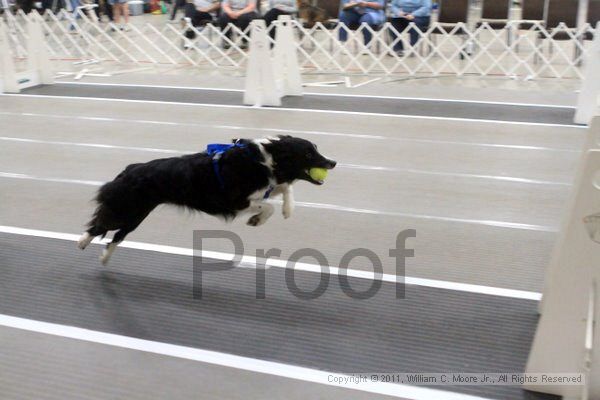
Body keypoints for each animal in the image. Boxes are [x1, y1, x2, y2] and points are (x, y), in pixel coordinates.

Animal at [77, 137, 336, 266]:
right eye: (308, 153)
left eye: (316, 149)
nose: (333, 162)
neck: (266, 160)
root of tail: (129, 170)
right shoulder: (234, 201)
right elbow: (267, 205)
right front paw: (257, 219)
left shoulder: (267, 184)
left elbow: (284, 188)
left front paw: (288, 209)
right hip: (128, 208)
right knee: (100, 225)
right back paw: (81, 242)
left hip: (137, 214)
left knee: (118, 235)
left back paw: (104, 258)